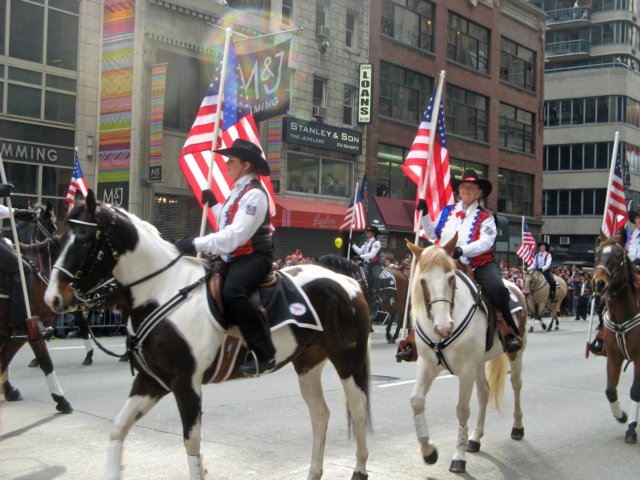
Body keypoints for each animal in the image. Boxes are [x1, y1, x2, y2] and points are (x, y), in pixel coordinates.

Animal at [45, 191, 372, 480]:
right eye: (59, 240)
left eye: (84, 238)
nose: (53, 299)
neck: (161, 289)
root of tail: (348, 282)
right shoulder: (150, 381)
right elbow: (118, 428)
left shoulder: (185, 383)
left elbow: (191, 442)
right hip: (307, 363)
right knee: (320, 416)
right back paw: (314, 472)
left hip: (348, 360)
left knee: (358, 411)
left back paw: (359, 469)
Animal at [408, 238, 528, 474]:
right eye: (423, 281)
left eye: (451, 278)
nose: (444, 327)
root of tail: (513, 285)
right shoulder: (428, 364)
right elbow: (417, 401)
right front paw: (429, 452)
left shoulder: (466, 370)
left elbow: (462, 410)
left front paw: (458, 457)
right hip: (479, 362)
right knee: (484, 392)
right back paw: (475, 438)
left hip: (515, 352)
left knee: (517, 384)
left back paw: (517, 427)